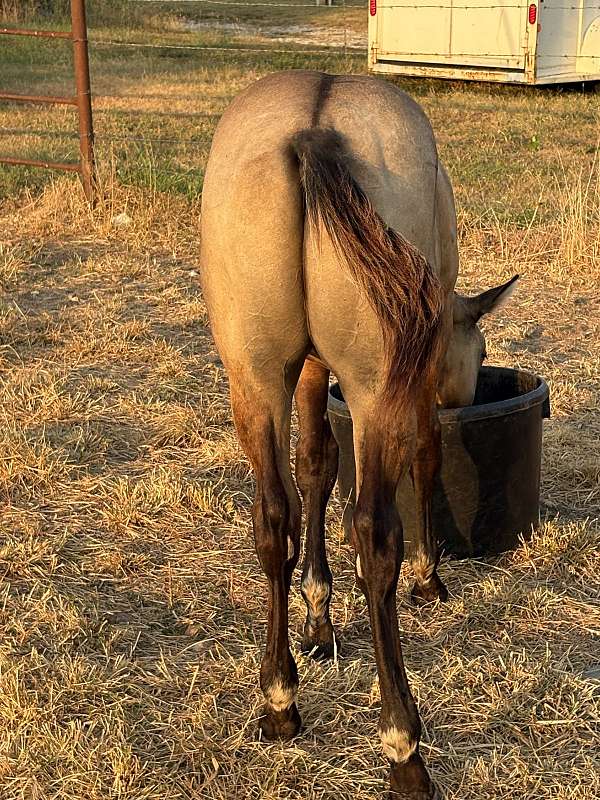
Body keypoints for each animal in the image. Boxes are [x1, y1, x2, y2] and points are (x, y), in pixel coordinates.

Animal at [200, 70, 517, 799]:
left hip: (255, 381)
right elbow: (426, 458)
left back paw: (280, 701)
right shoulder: (411, 382)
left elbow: (315, 466)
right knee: (374, 531)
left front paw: (317, 616)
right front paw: (430, 578)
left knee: (273, 519)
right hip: (376, 394)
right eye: (481, 350)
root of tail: (313, 130)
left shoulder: (311, 372)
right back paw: (403, 744)